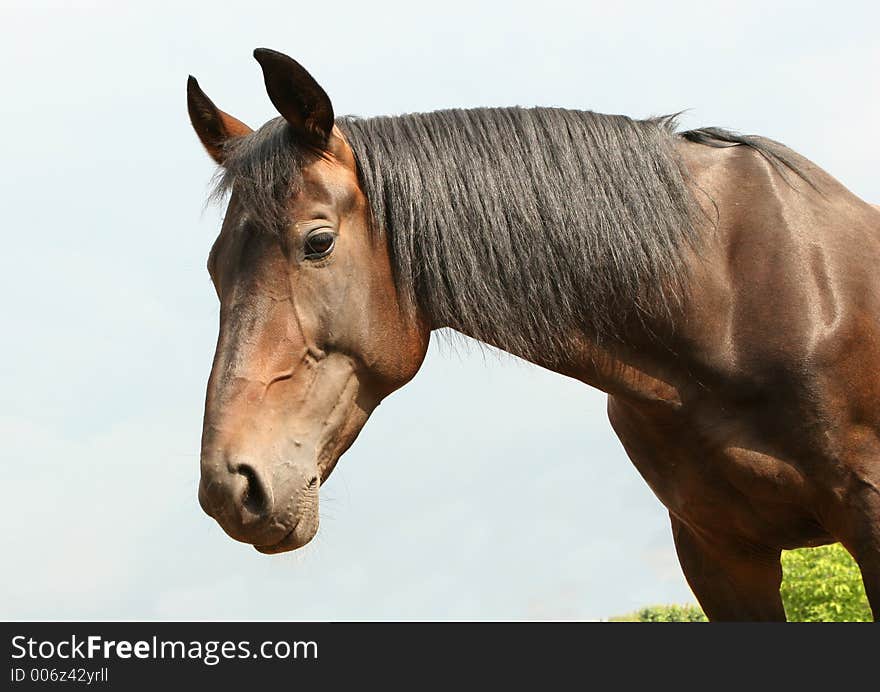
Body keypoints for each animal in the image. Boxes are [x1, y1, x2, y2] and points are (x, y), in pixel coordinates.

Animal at [189, 48, 880, 620]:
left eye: (318, 242)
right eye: (214, 267)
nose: (231, 486)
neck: (733, 300)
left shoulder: (866, 515)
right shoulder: (717, 552)